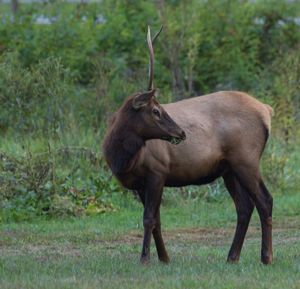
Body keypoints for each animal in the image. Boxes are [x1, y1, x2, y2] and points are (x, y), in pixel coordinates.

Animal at [103, 25, 274, 264]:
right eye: (156, 111)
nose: (181, 132)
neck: (122, 159)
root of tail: (266, 111)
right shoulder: (140, 184)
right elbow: (157, 221)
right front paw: (164, 258)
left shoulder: (157, 171)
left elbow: (148, 219)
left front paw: (145, 258)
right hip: (229, 168)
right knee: (244, 206)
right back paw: (232, 256)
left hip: (246, 159)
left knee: (265, 200)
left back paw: (266, 257)